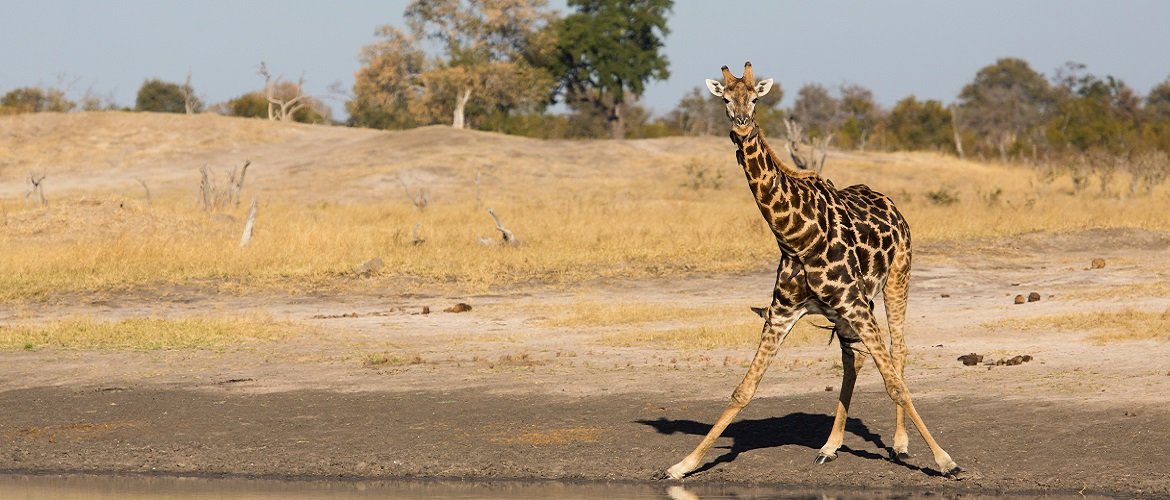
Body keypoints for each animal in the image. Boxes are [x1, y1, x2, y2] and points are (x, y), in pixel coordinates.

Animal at [663, 62, 963, 480]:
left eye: (754, 99)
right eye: (724, 99)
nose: (741, 126)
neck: (795, 238)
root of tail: (890, 201)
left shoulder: (855, 304)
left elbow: (894, 384)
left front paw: (945, 460)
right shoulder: (781, 312)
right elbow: (743, 389)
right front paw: (683, 464)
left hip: (896, 279)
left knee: (898, 351)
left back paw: (900, 443)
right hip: (847, 311)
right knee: (854, 360)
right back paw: (830, 446)